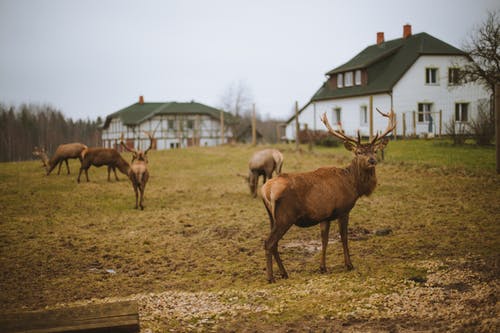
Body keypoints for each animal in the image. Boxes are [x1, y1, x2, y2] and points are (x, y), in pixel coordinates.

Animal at [262, 107, 394, 282]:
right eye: (359, 152)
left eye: (375, 150)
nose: (372, 161)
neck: (354, 185)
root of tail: (266, 190)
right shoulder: (343, 210)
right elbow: (344, 237)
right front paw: (349, 265)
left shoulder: (325, 216)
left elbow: (324, 241)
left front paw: (322, 267)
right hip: (285, 216)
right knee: (269, 242)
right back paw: (271, 277)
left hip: (272, 217)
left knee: (274, 243)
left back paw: (284, 273)